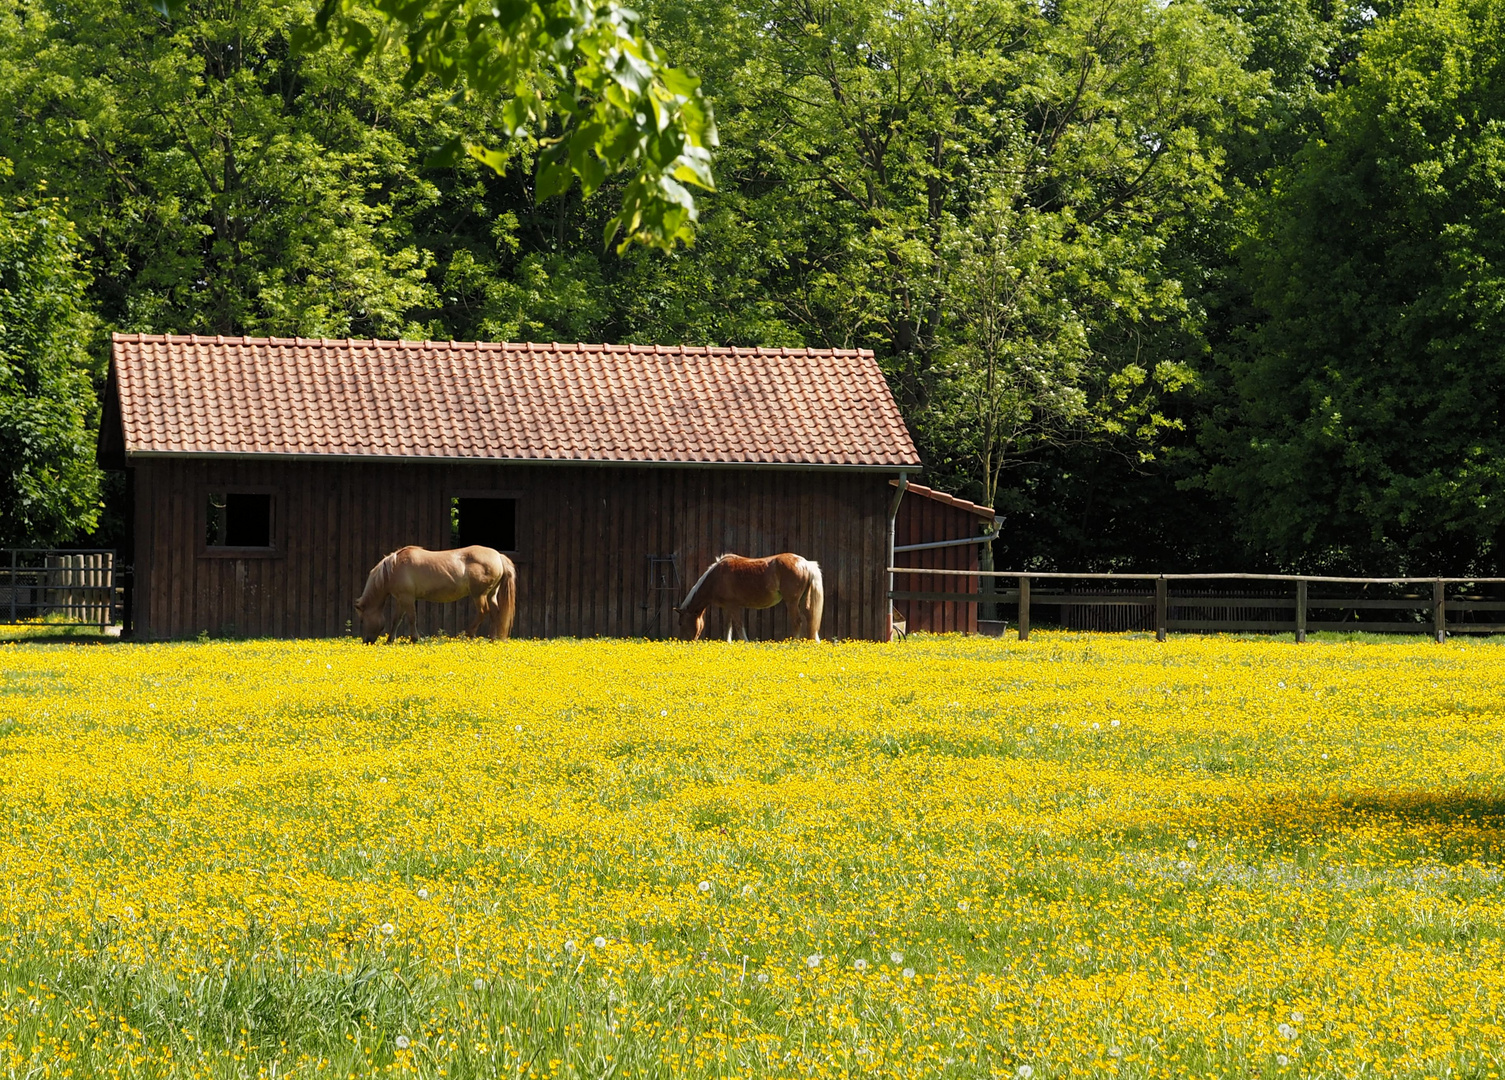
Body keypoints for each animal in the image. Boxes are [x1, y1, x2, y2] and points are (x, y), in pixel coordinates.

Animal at [353, 550, 514, 643]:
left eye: (362, 620)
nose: (366, 641)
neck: (393, 567)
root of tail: (498, 556)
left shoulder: (407, 598)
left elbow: (411, 618)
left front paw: (414, 639)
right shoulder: (401, 599)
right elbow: (396, 620)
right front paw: (389, 640)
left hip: (479, 595)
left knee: (482, 612)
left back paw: (469, 635)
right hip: (491, 594)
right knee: (494, 613)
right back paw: (492, 639)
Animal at [680, 559, 830, 643]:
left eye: (683, 623)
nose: (685, 642)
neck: (717, 576)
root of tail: (805, 563)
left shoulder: (733, 606)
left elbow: (739, 625)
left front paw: (745, 642)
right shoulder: (727, 607)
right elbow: (728, 625)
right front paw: (727, 642)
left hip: (791, 602)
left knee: (797, 621)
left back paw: (793, 642)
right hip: (804, 599)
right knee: (809, 618)